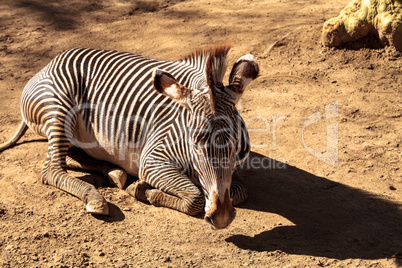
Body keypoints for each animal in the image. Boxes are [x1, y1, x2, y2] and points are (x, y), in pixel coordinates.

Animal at [0, 45, 260, 229]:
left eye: (237, 147)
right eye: (194, 143)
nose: (222, 218)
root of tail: (51, 62)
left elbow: (239, 191)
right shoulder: (153, 159)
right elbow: (196, 197)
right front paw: (145, 191)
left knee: (71, 155)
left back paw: (115, 172)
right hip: (59, 108)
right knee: (52, 169)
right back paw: (96, 198)